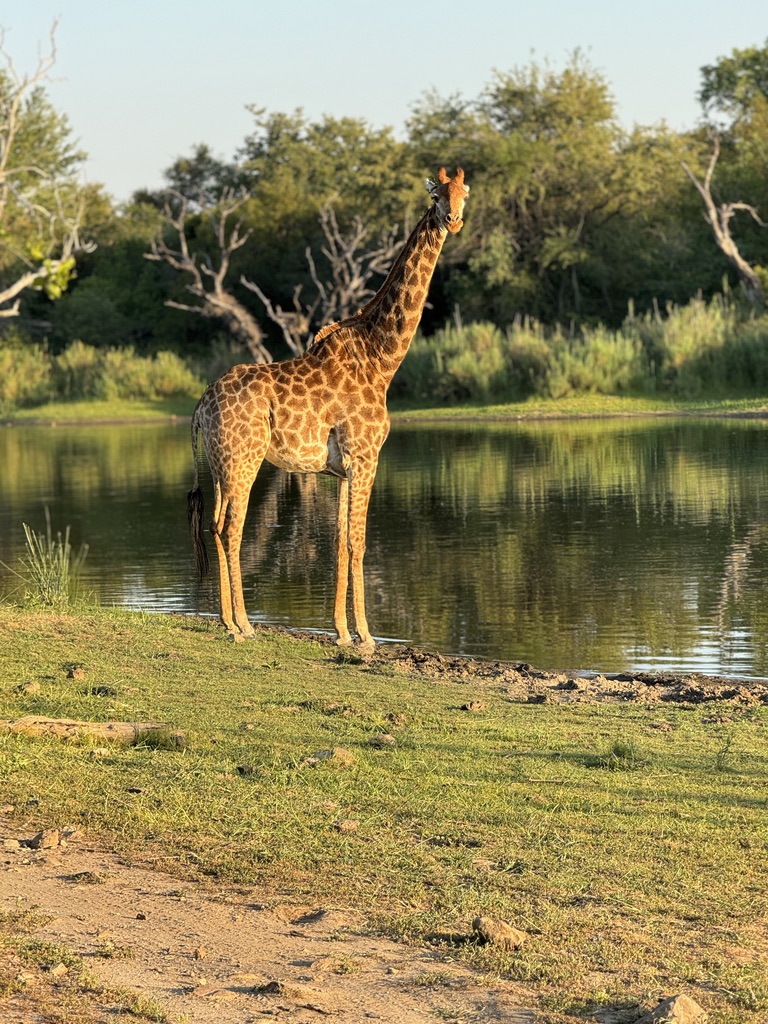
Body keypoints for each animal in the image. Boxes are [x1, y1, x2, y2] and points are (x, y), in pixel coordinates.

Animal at [188, 166, 469, 652]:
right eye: (436, 196)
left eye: (464, 193)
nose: (452, 220)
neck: (382, 358)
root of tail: (202, 404)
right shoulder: (366, 456)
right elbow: (359, 541)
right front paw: (368, 636)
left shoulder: (340, 468)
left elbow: (339, 540)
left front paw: (340, 631)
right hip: (245, 459)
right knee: (231, 528)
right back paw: (243, 625)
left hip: (220, 462)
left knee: (216, 525)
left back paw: (225, 621)